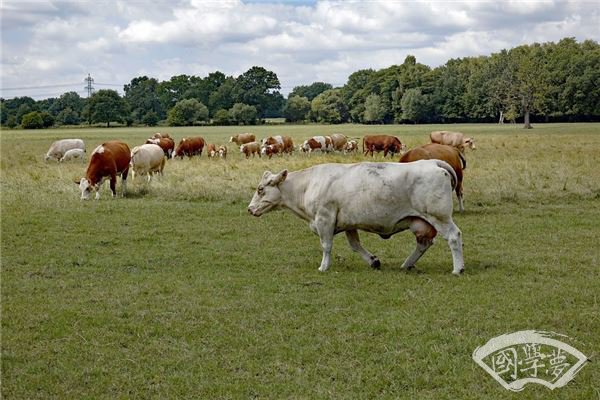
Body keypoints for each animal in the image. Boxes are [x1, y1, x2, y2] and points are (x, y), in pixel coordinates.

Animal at [248, 159, 464, 276]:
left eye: (260, 189)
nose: (250, 209)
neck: (308, 184)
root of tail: (432, 162)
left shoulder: (324, 219)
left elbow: (326, 246)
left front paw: (323, 266)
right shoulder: (348, 223)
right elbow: (355, 245)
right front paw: (373, 261)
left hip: (439, 216)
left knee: (454, 237)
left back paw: (457, 269)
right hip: (420, 221)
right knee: (424, 243)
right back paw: (407, 264)